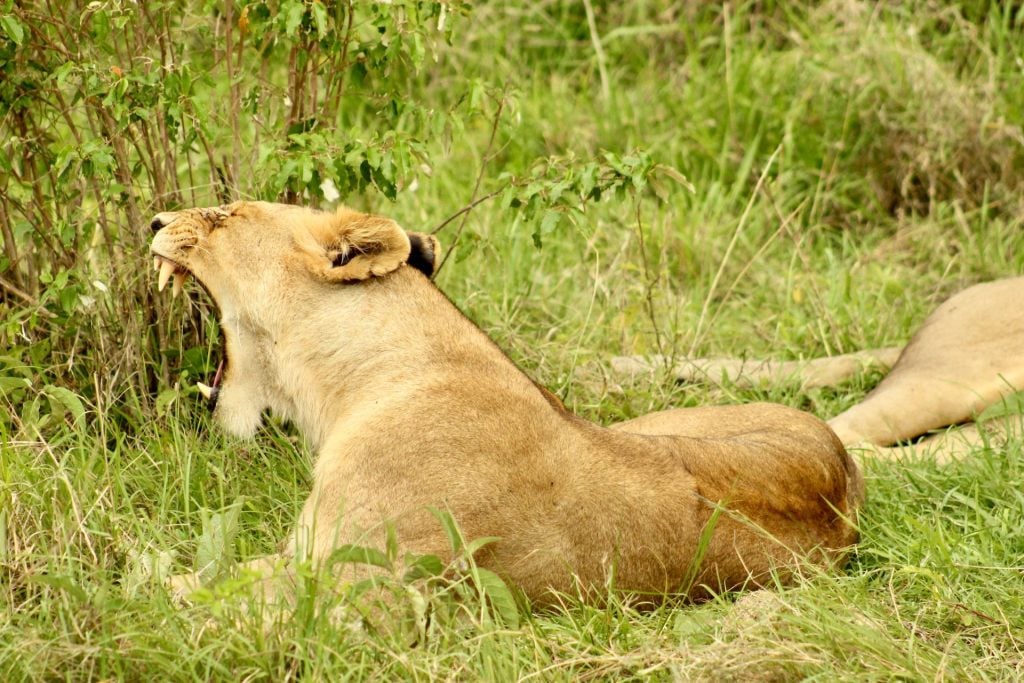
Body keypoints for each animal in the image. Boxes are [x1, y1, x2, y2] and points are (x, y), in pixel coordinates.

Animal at [150, 201, 862, 608]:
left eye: (227, 215)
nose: (154, 222)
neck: (355, 382)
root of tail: (844, 468)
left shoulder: (356, 586)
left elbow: (205, 597)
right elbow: (208, 574)